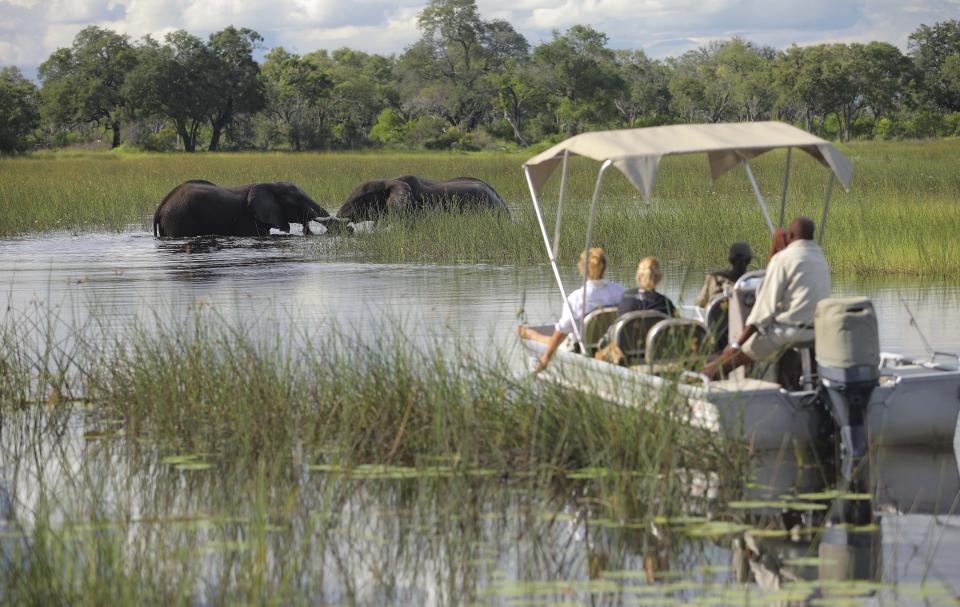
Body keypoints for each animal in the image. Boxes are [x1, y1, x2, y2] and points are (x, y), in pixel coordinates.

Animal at [148, 179, 346, 239]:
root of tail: (162, 206)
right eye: (297, 200)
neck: (270, 184)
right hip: (178, 218)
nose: (349, 230)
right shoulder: (248, 220)